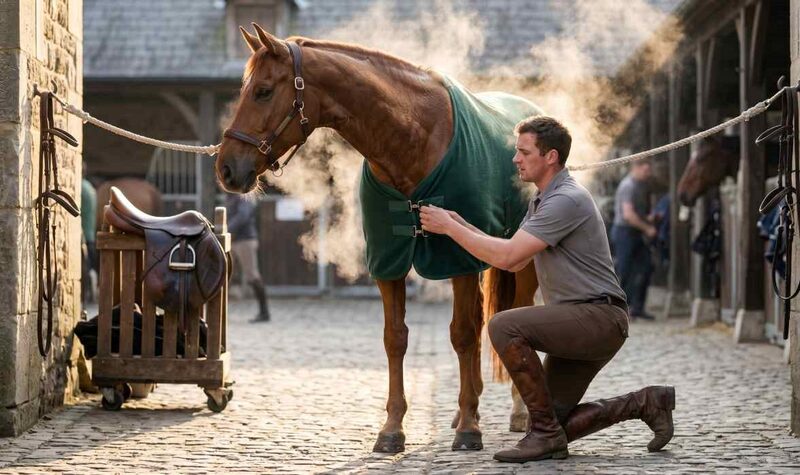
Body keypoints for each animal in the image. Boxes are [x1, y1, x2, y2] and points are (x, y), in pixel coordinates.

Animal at [215, 25, 540, 453]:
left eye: (264, 91)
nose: (225, 168)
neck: (414, 137)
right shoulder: (390, 263)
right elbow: (395, 339)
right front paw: (393, 428)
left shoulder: (458, 259)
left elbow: (463, 334)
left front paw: (470, 429)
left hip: (520, 262)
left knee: (515, 313)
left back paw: (517, 411)